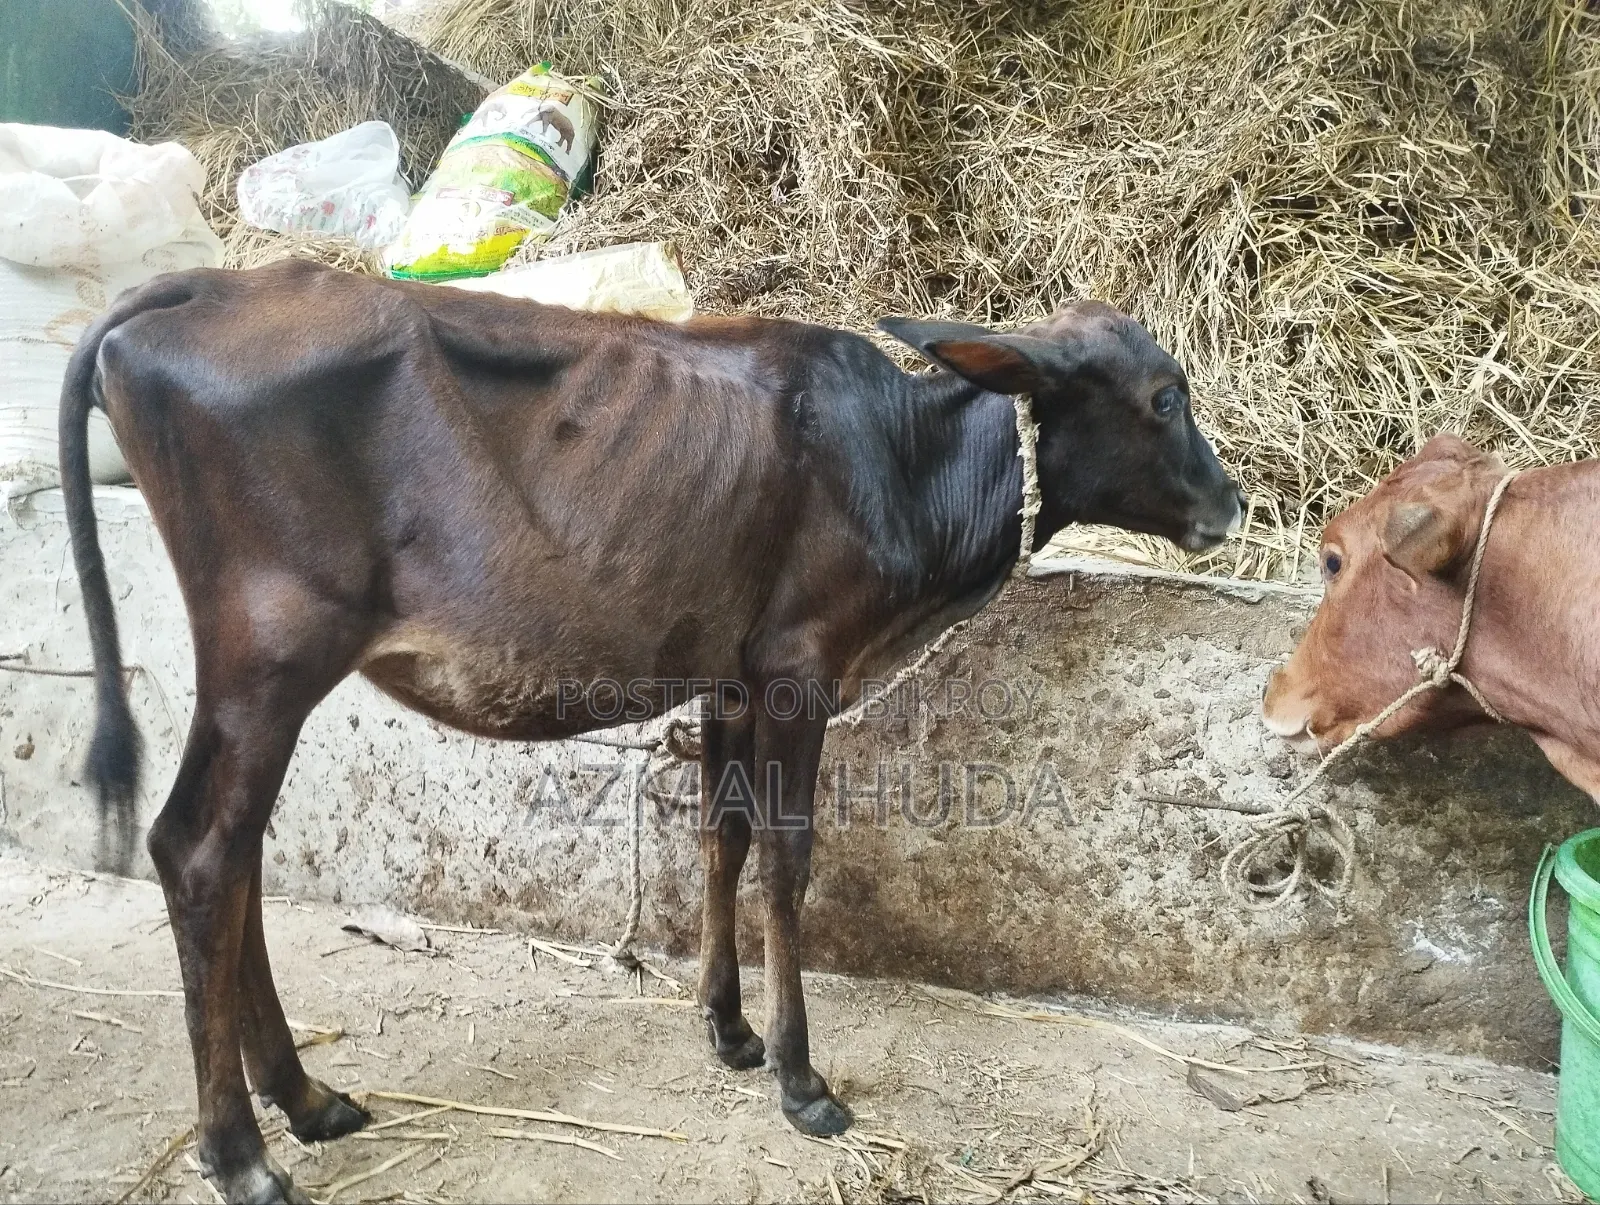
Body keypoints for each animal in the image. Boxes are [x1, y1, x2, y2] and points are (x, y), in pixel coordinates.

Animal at [60, 259, 1242, 1203]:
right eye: (1163, 394)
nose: (1230, 504)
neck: (903, 459)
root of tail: (201, 283)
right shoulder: (798, 669)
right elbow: (784, 856)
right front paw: (802, 1079)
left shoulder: (728, 676)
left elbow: (719, 834)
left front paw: (729, 1029)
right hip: (269, 655)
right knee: (198, 851)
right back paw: (242, 1151)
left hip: (266, 673)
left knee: (236, 855)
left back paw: (306, 1097)